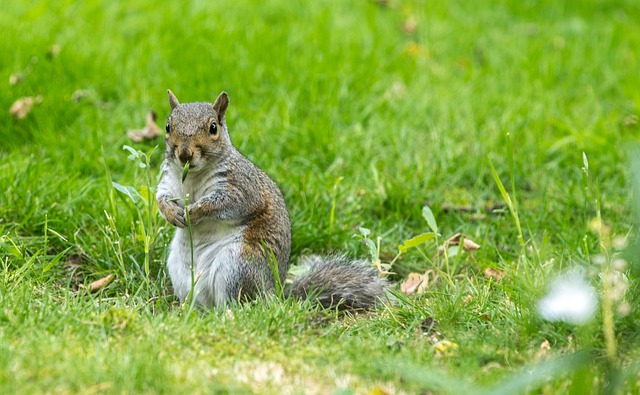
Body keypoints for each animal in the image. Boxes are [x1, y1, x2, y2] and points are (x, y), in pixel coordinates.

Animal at [156, 91, 384, 310]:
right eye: (168, 126)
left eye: (213, 128)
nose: (184, 154)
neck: (192, 177)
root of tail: (275, 295)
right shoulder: (169, 181)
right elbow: (160, 197)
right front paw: (171, 212)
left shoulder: (242, 186)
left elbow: (224, 203)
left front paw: (194, 211)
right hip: (179, 269)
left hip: (237, 265)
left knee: (240, 304)